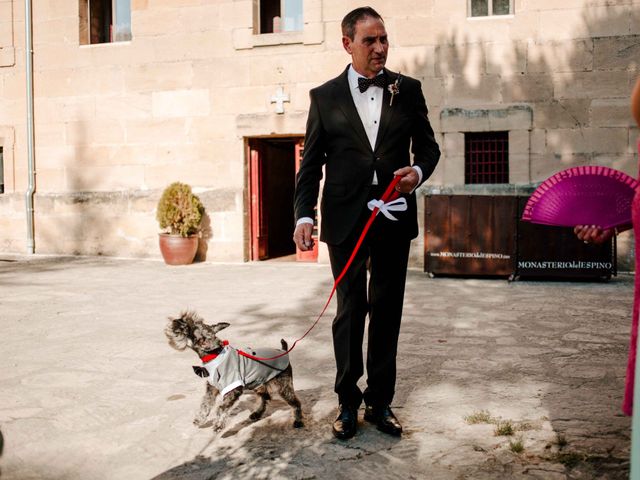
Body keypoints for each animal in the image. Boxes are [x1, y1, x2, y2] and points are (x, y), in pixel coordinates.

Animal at [165, 312, 304, 432]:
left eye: (190, 326)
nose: (177, 320)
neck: (214, 355)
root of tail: (283, 351)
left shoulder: (233, 389)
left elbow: (222, 408)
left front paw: (219, 425)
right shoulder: (212, 389)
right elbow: (205, 404)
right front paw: (199, 419)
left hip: (283, 387)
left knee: (295, 402)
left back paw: (298, 421)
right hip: (258, 384)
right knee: (265, 398)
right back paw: (257, 414)